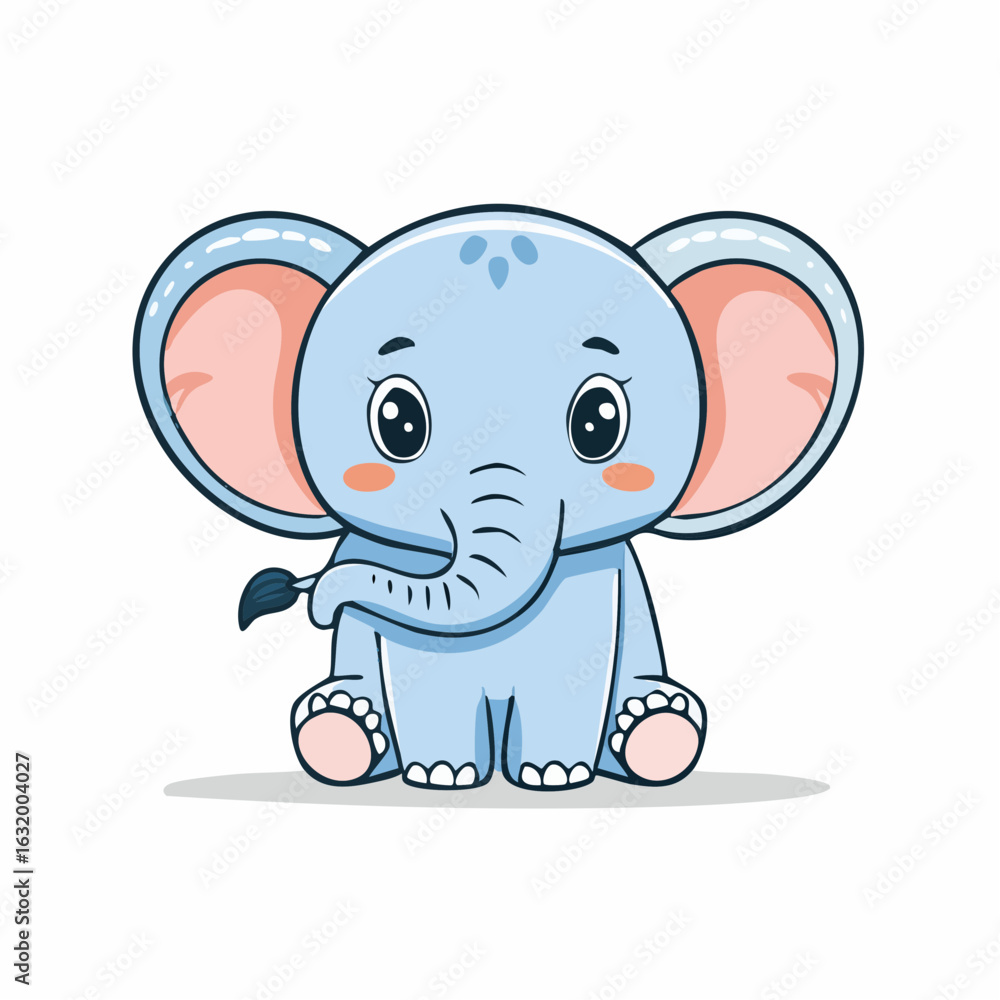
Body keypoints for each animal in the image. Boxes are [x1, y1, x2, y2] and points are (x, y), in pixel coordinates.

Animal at [134, 205, 861, 790]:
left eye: (600, 420)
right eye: (397, 420)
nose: (300, 596)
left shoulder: (592, 594)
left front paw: (553, 777)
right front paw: (442, 777)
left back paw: (655, 730)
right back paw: (340, 730)